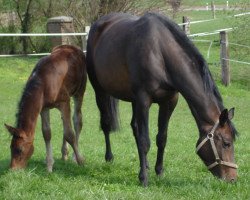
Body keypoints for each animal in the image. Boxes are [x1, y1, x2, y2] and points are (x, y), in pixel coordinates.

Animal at [87, 12, 239, 185]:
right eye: (226, 143)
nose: (232, 178)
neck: (160, 53)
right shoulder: (144, 100)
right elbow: (145, 141)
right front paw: (144, 179)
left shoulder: (169, 102)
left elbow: (161, 138)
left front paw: (158, 172)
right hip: (100, 91)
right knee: (106, 124)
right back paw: (109, 157)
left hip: (134, 100)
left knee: (135, 127)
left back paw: (145, 164)